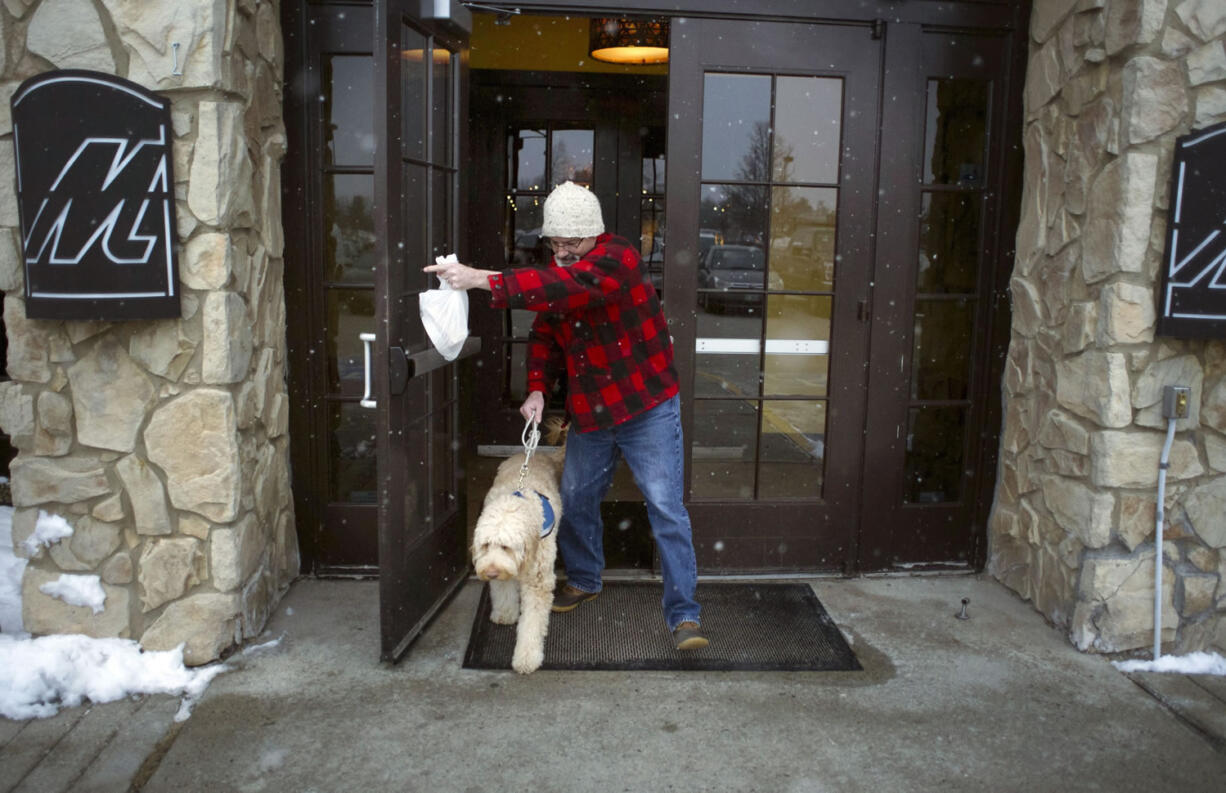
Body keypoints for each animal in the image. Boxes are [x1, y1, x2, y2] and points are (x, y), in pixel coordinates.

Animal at [470, 421, 566, 676]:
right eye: (485, 545)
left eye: (506, 546)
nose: (490, 573)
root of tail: (535, 452)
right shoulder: (502, 572)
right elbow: (503, 591)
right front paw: (505, 614)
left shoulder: (538, 581)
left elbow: (532, 623)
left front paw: (527, 658)